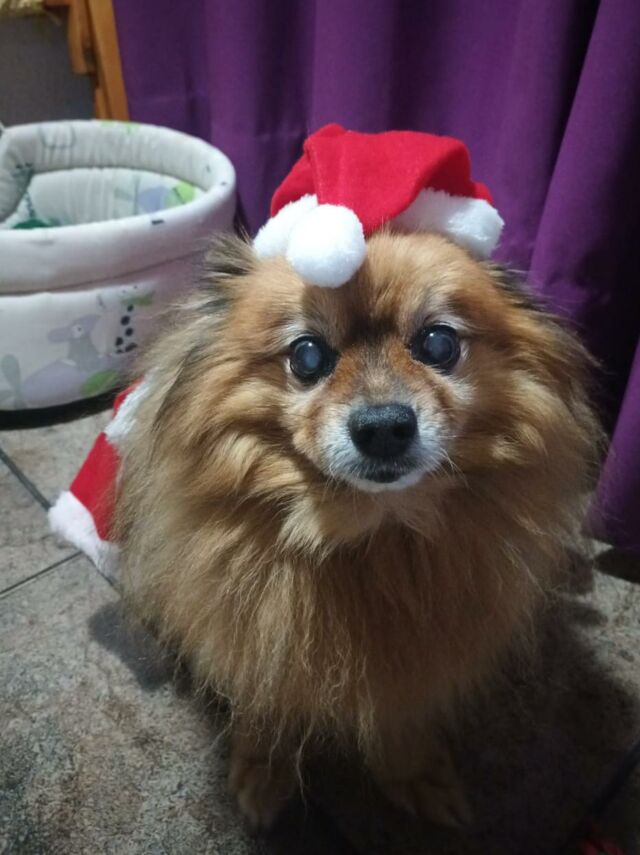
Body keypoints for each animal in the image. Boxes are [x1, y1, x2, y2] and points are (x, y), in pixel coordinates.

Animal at [114, 229, 600, 829]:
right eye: (306, 356)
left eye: (439, 344)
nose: (384, 427)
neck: (373, 538)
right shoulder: (255, 636)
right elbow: (262, 701)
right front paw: (263, 766)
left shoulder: (414, 666)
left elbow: (402, 714)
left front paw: (412, 772)